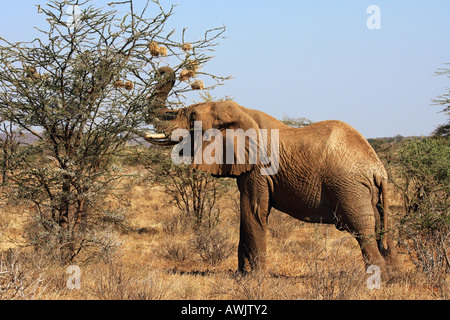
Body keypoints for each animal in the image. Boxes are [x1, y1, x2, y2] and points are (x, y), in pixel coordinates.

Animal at [141, 67, 398, 276]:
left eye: (192, 116)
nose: (162, 70)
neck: (241, 111)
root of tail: (378, 169)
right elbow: (246, 213)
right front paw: (241, 276)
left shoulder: (259, 169)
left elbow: (253, 210)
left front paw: (254, 279)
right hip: (369, 193)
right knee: (377, 230)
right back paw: (390, 277)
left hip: (349, 188)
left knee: (363, 232)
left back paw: (375, 282)